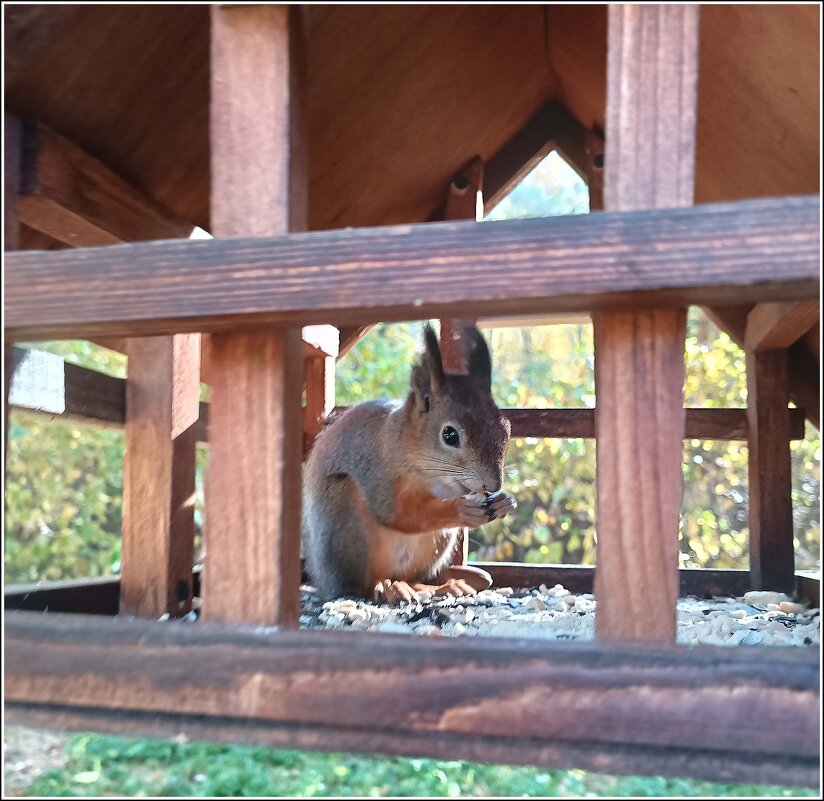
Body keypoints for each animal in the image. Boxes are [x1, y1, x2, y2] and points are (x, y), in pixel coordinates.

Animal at [302, 322, 516, 604]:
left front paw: (505, 502)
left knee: (411, 577)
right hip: (343, 517)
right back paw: (386, 588)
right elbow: (397, 514)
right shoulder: (376, 472)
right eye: (450, 435)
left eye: (506, 428)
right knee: (360, 585)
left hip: (436, 544)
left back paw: (437, 587)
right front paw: (460, 510)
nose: (493, 485)